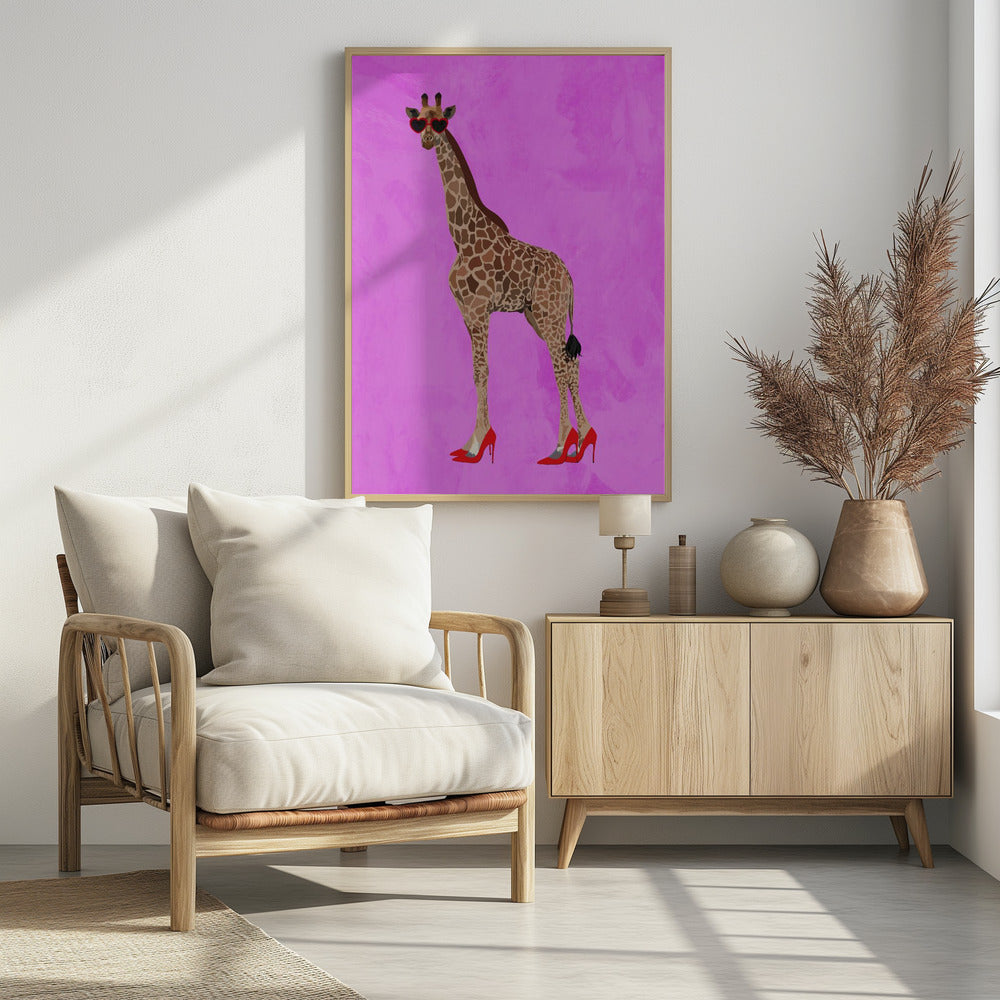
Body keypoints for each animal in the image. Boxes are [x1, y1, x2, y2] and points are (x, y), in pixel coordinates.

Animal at [406, 92, 597, 465]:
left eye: (441, 122)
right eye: (418, 120)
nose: (426, 140)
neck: (462, 237)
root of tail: (569, 276)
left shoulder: (481, 310)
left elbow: (483, 371)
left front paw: (478, 443)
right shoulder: (467, 313)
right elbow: (476, 371)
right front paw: (471, 441)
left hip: (550, 315)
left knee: (561, 367)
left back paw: (563, 445)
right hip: (536, 316)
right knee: (570, 364)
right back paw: (580, 440)